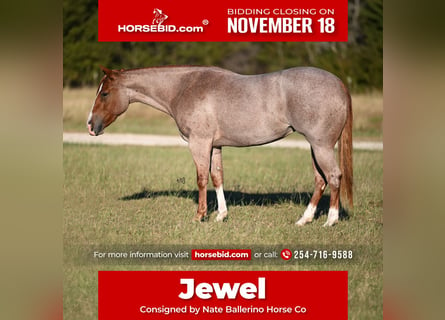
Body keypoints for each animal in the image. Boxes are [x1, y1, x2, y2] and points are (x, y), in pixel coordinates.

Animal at [86, 65, 350, 226]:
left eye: (105, 93)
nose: (90, 125)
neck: (184, 87)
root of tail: (338, 83)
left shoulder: (199, 143)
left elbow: (202, 178)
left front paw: (199, 216)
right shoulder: (214, 146)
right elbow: (217, 177)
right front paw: (221, 215)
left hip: (321, 146)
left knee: (334, 176)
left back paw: (330, 221)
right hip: (315, 147)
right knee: (320, 180)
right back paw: (304, 219)